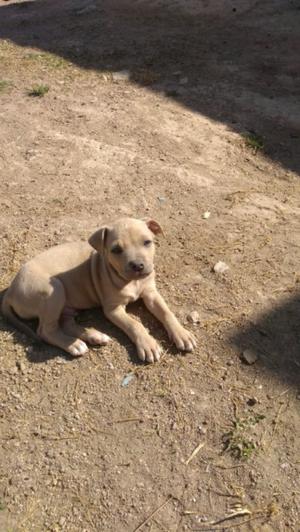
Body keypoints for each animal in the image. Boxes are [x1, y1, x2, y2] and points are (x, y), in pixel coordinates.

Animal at [2, 216, 197, 362]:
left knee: (66, 323)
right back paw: (74, 344)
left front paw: (182, 334)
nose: (137, 266)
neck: (131, 282)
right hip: (53, 291)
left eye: (147, 242)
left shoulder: (151, 293)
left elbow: (166, 312)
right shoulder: (112, 309)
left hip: (65, 305)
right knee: (45, 330)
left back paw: (94, 336)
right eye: (116, 250)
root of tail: (10, 291)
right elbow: (134, 324)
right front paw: (147, 344)